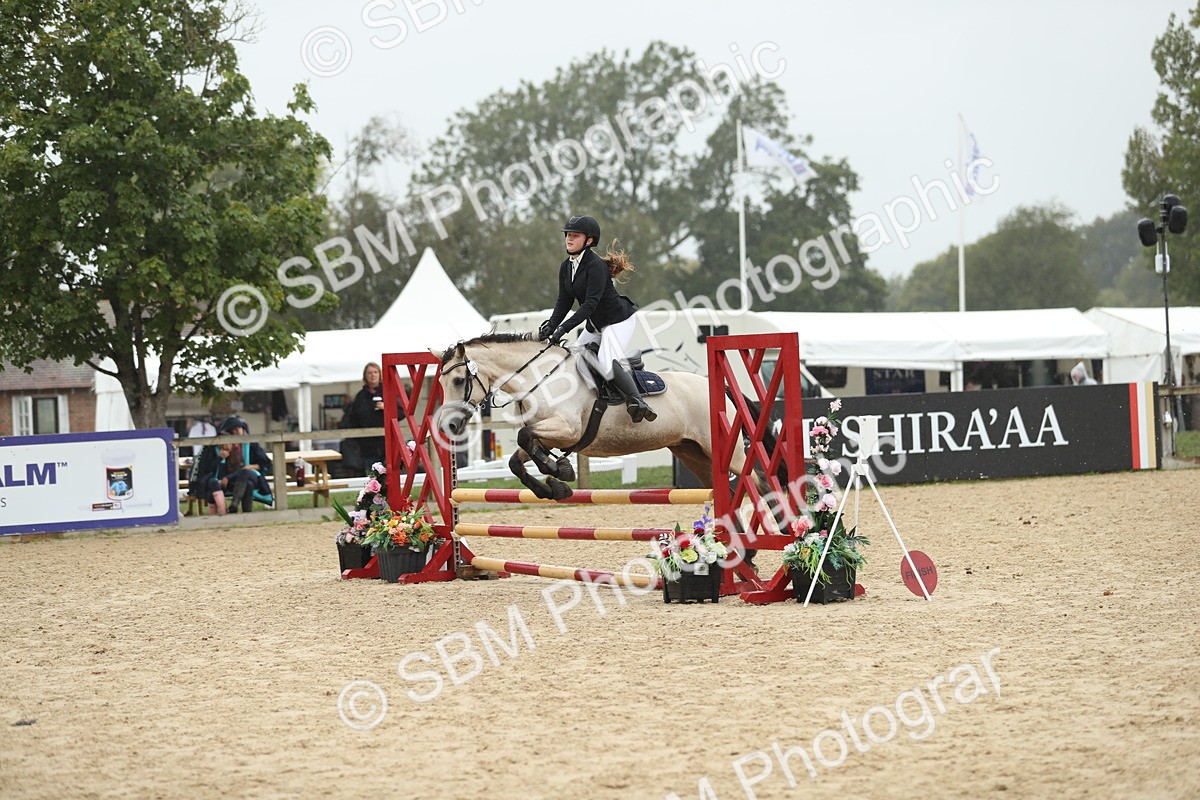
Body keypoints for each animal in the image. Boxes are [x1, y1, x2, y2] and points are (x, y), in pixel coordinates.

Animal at [435, 332, 764, 502]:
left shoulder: (567, 429)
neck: (540, 377)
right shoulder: (548, 433)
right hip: (692, 454)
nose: (448, 425)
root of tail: (717, 387)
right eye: (440, 383)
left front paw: (560, 471)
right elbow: (517, 459)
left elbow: (524, 436)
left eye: (458, 381)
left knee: (755, 484)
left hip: (729, 454)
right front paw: (554, 486)